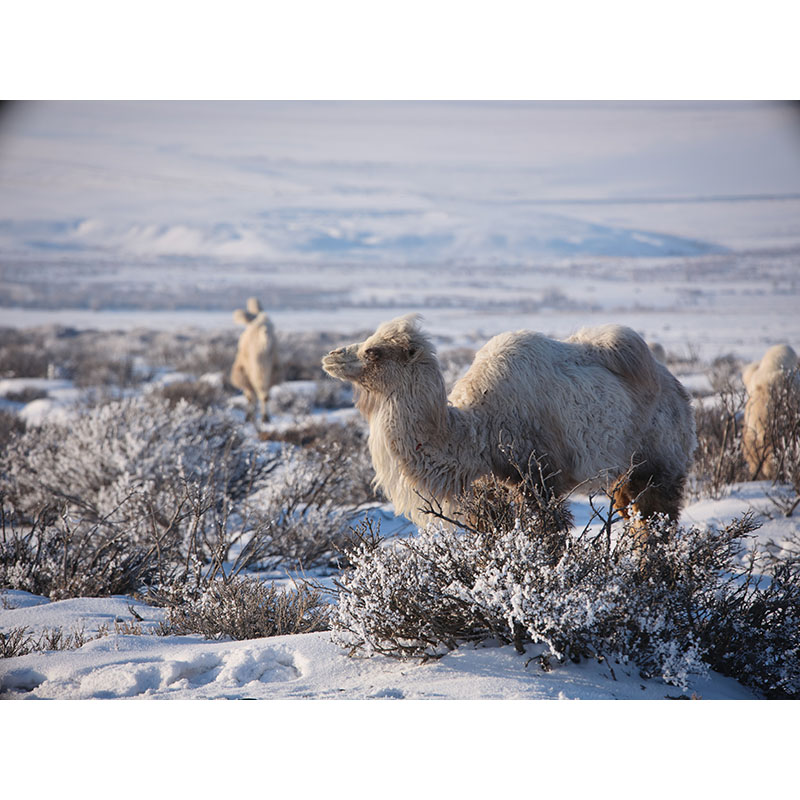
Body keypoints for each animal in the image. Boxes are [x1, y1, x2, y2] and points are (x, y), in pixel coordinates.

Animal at [322, 314, 696, 532]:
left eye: (373, 351)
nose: (331, 356)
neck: (477, 433)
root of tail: (676, 387)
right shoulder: (490, 491)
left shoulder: (539, 479)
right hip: (624, 476)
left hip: (659, 461)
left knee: (655, 521)